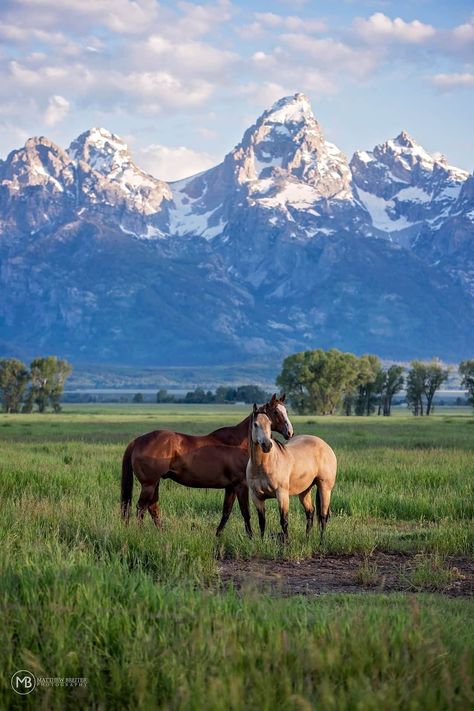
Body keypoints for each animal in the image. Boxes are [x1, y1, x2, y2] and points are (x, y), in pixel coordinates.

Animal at [120, 392, 294, 536]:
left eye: (285, 411)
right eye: (276, 412)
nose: (290, 432)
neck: (237, 442)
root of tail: (137, 441)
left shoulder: (230, 487)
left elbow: (226, 512)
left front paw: (217, 535)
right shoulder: (240, 485)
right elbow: (246, 513)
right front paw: (250, 537)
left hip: (155, 483)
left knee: (152, 507)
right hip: (149, 484)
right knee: (141, 508)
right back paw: (140, 533)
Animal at [246, 406, 336, 544]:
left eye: (270, 424)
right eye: (255, 424)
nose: (267, 445)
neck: (263, 465)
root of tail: (325, 446)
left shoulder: (282, 494)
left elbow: (284, 521)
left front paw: (286, 543)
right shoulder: (256, 497)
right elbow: (262, 522)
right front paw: (261, 543)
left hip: (325, 488)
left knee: (323, 516)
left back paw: (321, 542)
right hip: (304, 491)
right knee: (310, 512)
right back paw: (307, 539)